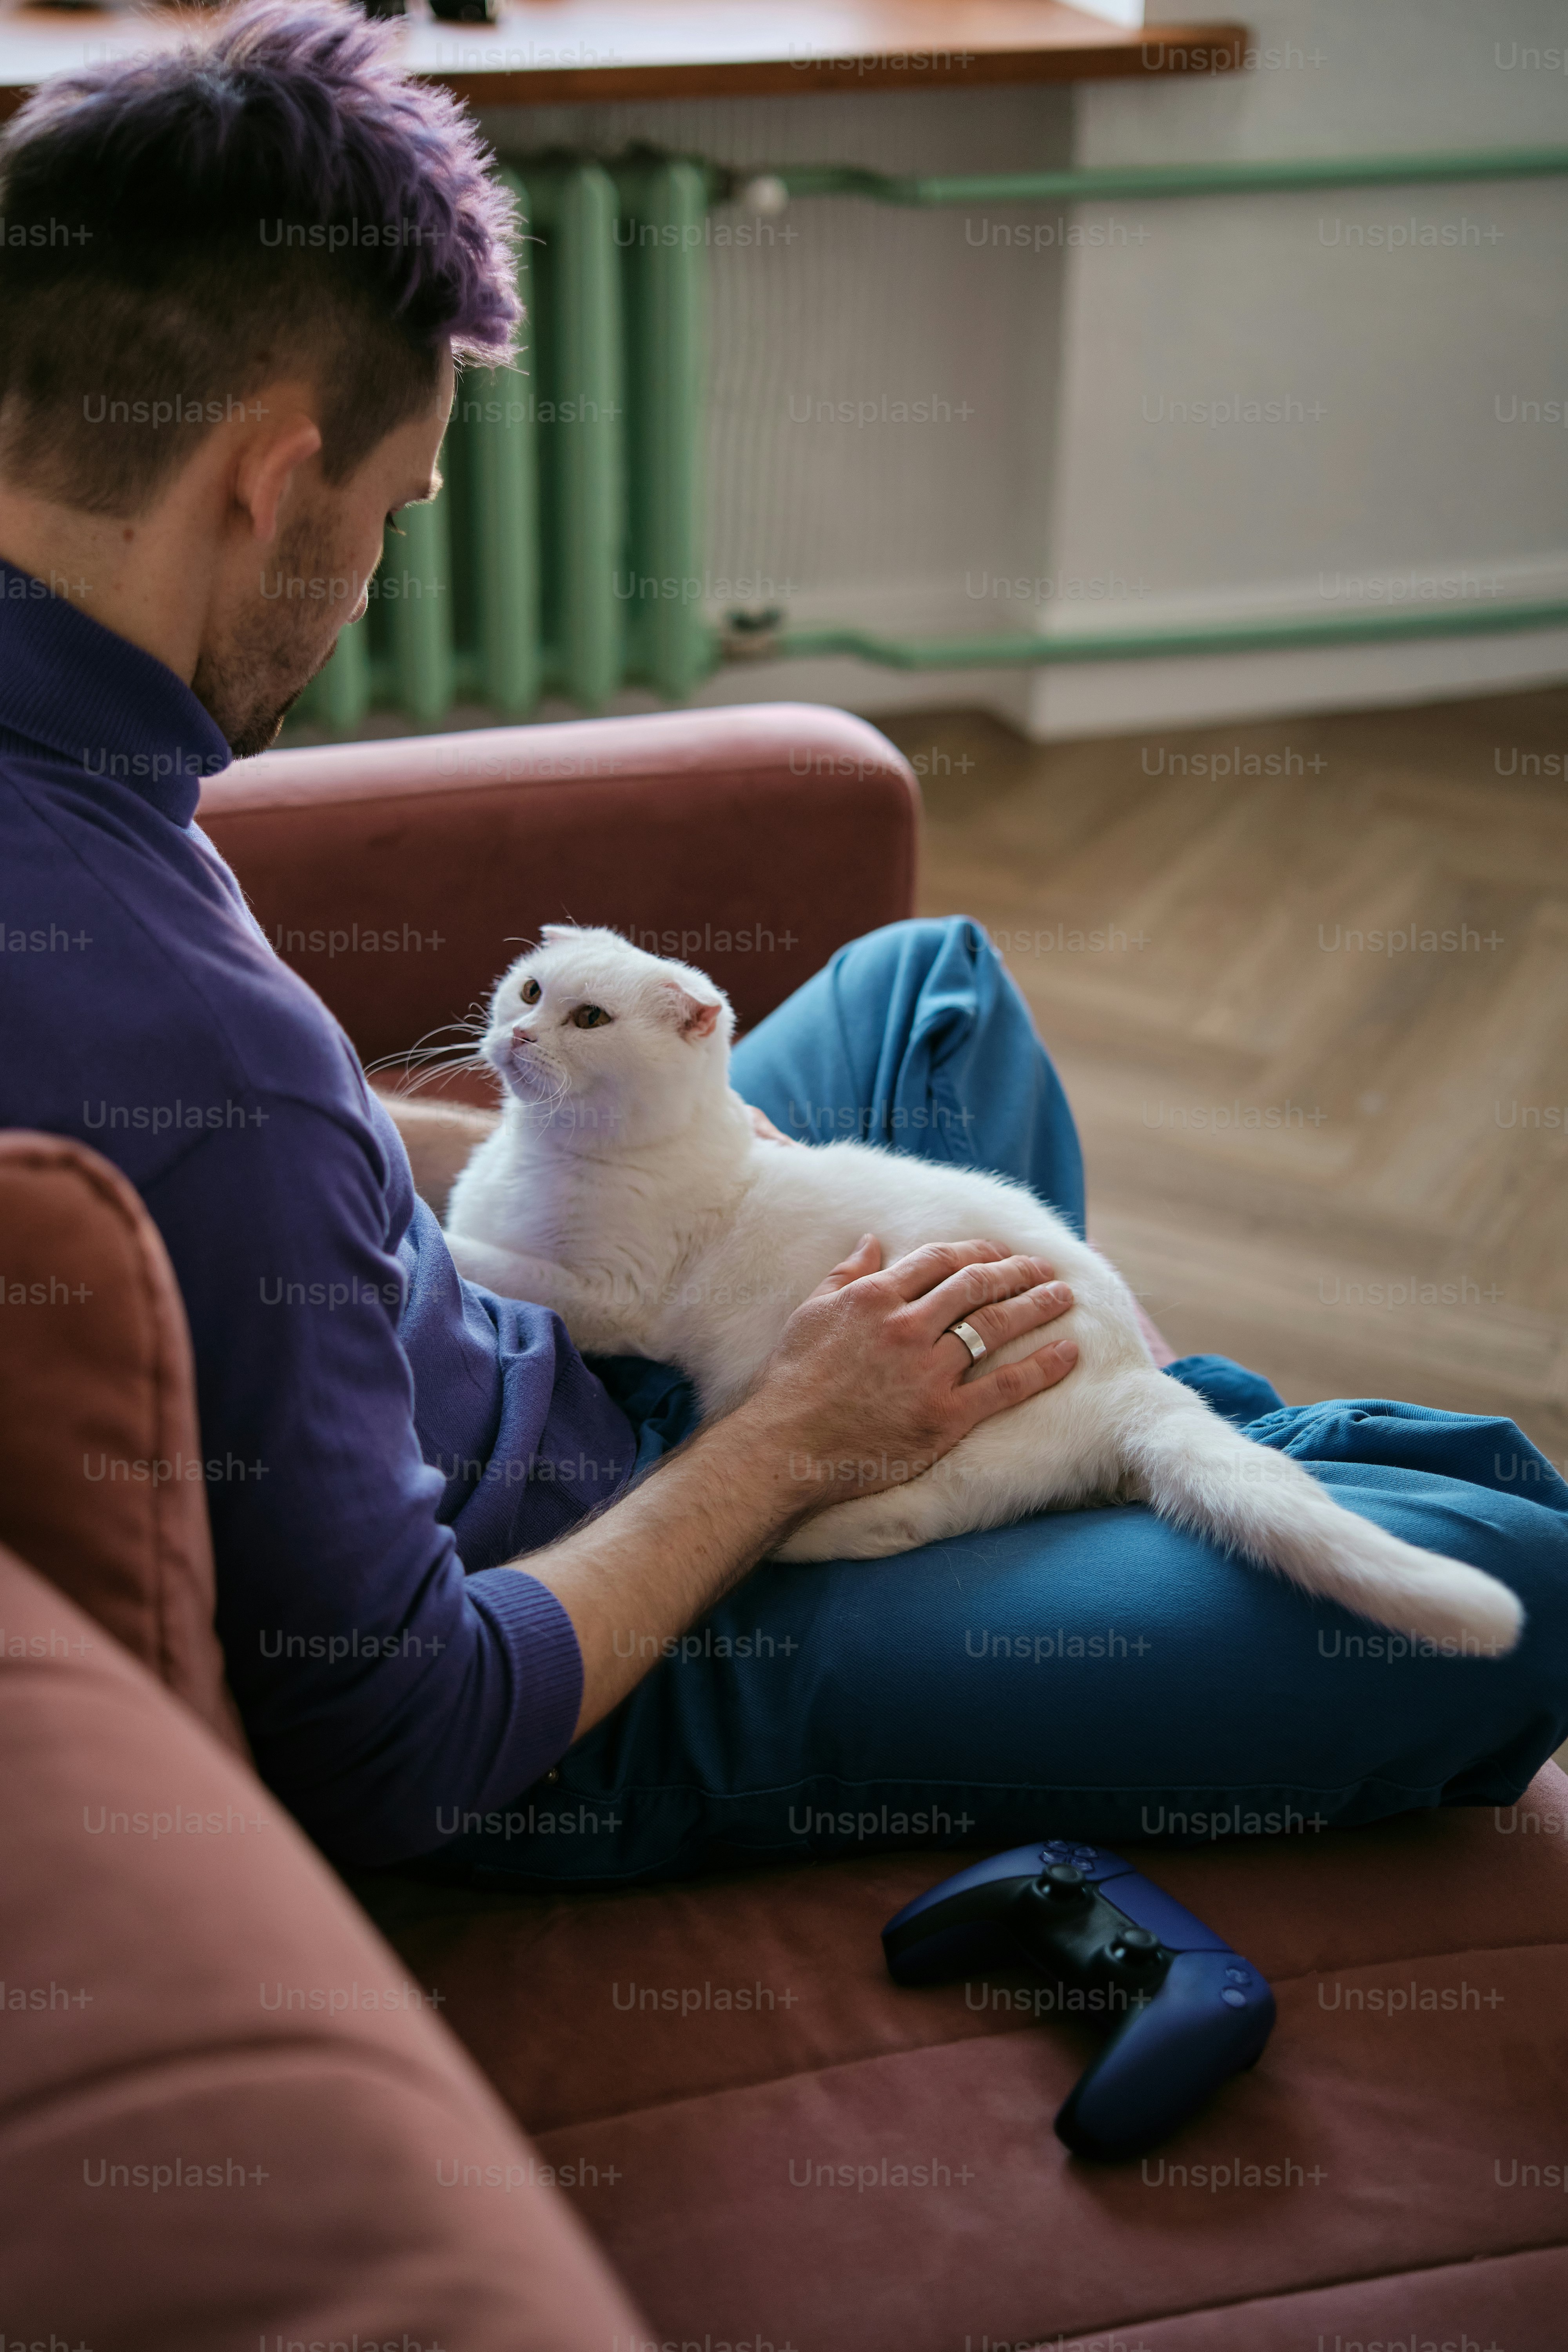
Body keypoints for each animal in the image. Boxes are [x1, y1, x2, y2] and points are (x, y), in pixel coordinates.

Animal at [446, 922, 1523, 1656]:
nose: (518, 1036)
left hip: (949, 1459)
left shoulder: (613, 1296)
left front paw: (442, 1240)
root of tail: (1135, 1376)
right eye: (529, 990)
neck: (545, 1153)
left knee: (904, 1519)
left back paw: (793, 1538)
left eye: (587, 1019)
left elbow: (488, 1260)